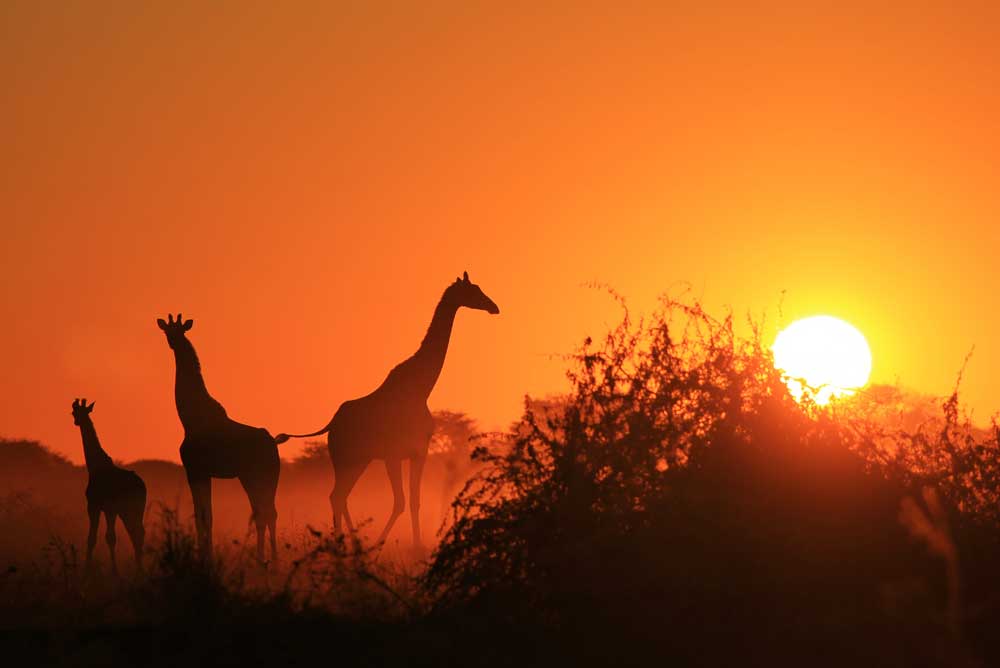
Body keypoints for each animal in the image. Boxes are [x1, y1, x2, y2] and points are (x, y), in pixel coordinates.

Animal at [70, 396, 146, 576]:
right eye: (74, 412)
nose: (77, 421)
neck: (95, 466)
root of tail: (142, 486)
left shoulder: (95, 505)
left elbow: (99, 538)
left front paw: (92, 570)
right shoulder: (108, 509)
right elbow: (105, 537)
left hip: (128, 509)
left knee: (136, 533)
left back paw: (139, 568)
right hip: (133, 510)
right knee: (137, 533)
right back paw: (140, 568)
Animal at [156, 316, 282, 560]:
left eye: (179, 330)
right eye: (167, 330)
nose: (173, 341)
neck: (189, 419)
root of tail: (273, 443)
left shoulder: (194, 470)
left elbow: (202, 516)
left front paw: (204, 557)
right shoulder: (204, 473)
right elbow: (208, 516)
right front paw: (207, 554)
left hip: (255, 476)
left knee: (264, 512)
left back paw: (265, 558)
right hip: (264, 476)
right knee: (267, 512)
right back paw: (270, 558)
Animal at [278, 270, 500, 548]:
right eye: (474, 291)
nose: (494, 307)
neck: (421, 389)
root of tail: (331, 424)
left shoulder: (416, 452)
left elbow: (414, 502)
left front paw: (414, 547)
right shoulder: (398, 454)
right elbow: (401, 502)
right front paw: (386, 545)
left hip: (358, 459)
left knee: (339, 495)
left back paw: (350, 542)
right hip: (347, 458)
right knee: (337, 495)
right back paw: (347, 543)